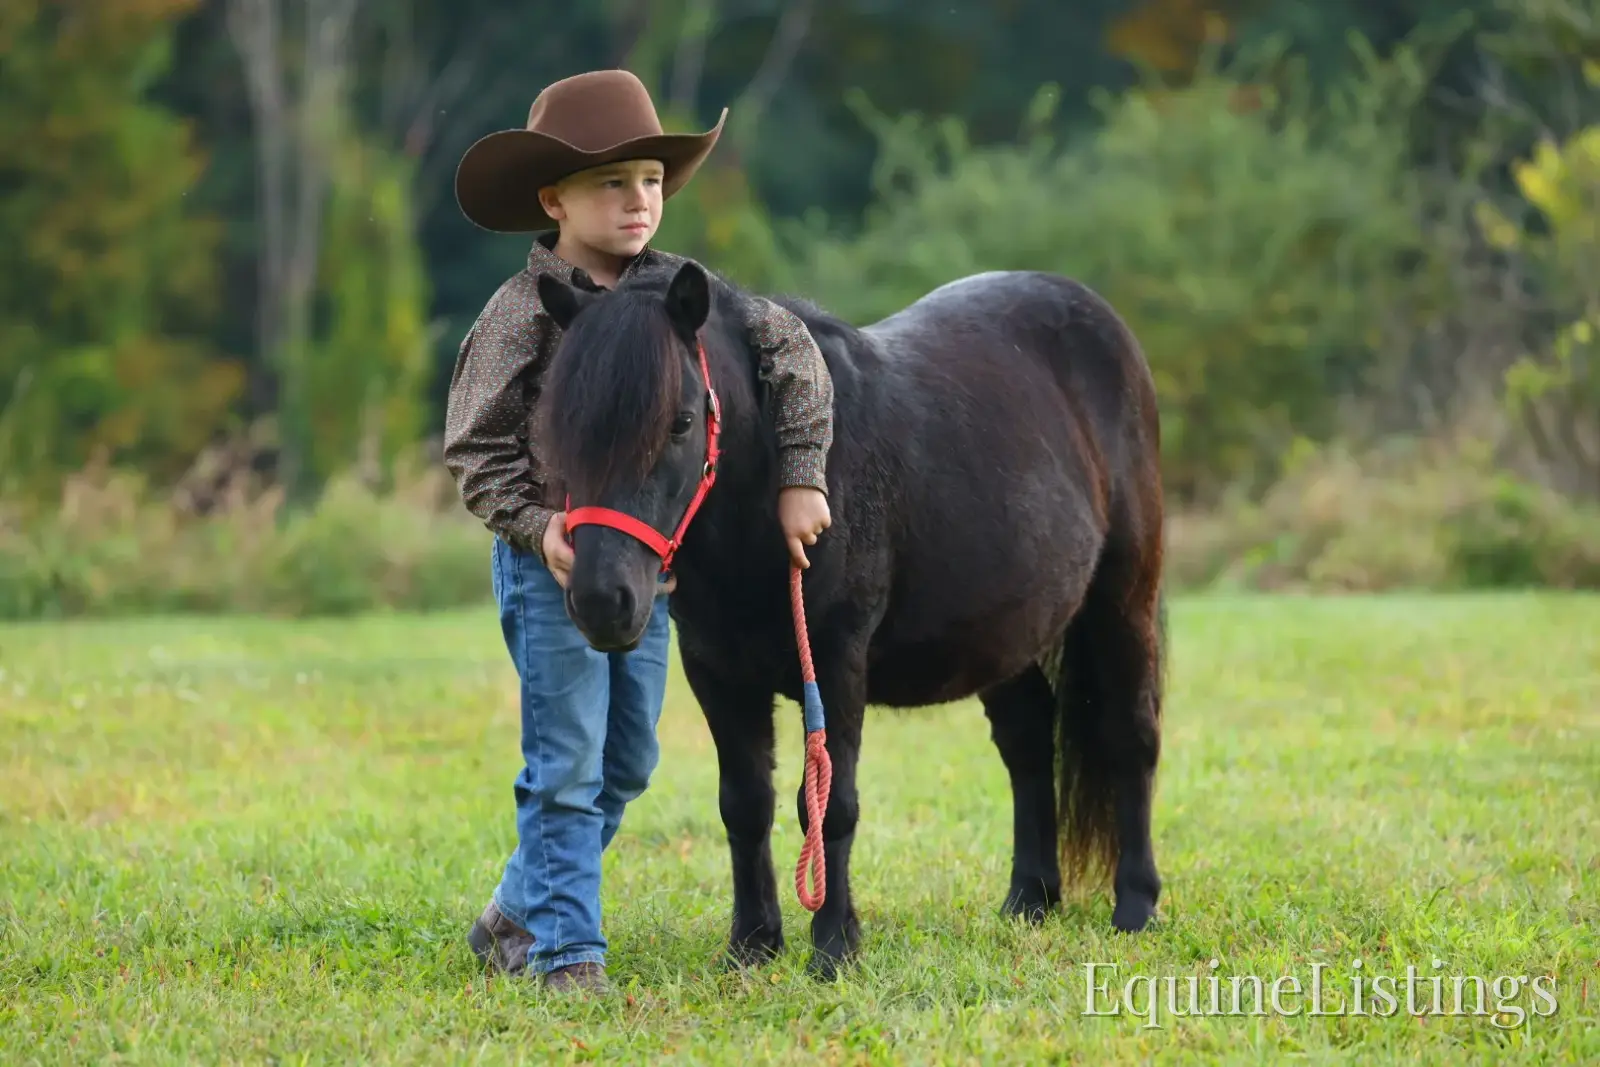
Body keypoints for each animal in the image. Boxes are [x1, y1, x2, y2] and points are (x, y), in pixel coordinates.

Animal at [532, 258, 1167, 979]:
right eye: (559, 428)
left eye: (681, 421)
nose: (601, 599)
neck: (779, 487)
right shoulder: (716, 670)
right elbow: (744, 804)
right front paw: (752, 943)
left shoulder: (835, 660)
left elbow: (831, 804)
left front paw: (834, 944)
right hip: (1005, 632)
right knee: (1029, 741)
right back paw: (1029, 899)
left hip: (1124, 597)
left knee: (1131, 735)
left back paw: (1136, 904)